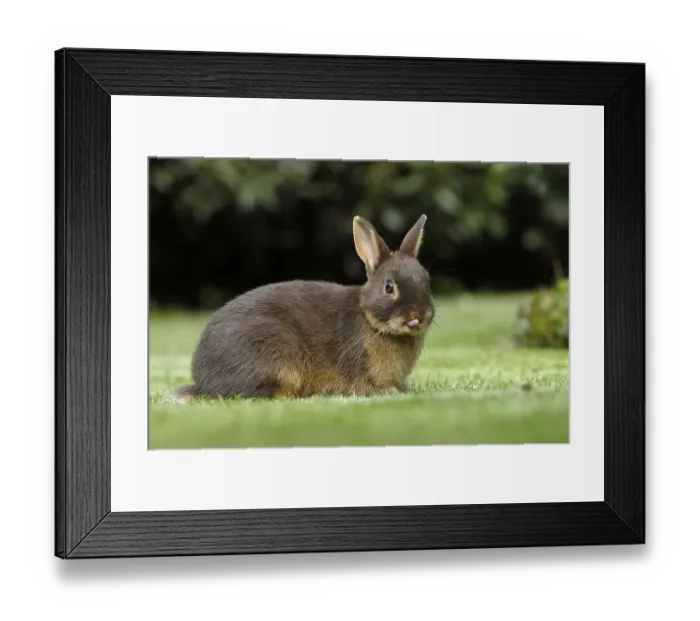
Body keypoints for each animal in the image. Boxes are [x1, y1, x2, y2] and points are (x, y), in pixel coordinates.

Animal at [171, 214, 435, 401]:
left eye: (427, 280)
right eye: (389, 287)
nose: (420, 314)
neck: (369, 318)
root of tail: (203, 382)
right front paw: (391, 393)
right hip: (277, 355)